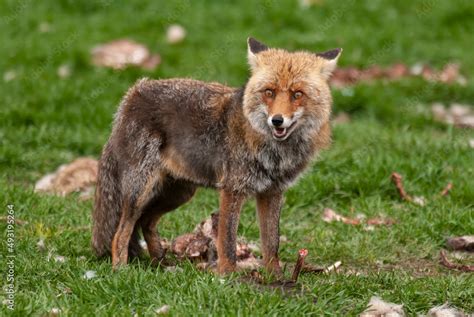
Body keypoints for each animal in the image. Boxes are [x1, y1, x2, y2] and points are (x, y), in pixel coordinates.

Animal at [92, 37, 342, 274]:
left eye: (297, 94)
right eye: (269, 92)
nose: (277, 120)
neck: (274, 153)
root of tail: (131, 95)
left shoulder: (272, 192)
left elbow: (272, 244)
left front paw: (277, 278)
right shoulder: (232, 189)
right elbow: (227, 242)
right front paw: (227, 276)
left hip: (179, 193)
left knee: (146, 223)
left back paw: (161, 265)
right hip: (140, 191)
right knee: (120, 233)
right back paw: (121, 270)